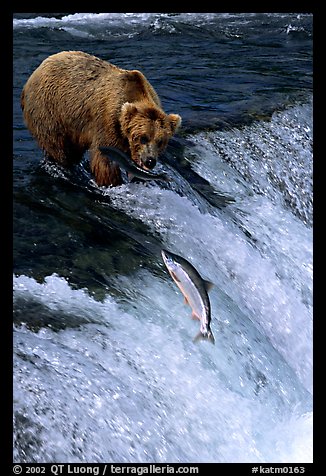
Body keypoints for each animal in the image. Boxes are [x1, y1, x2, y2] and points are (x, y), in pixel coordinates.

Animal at [21, 50, 182, 187]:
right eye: (143, 137)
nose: (150, 161)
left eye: (161, 141)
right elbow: (104, 162)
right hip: (50, 110)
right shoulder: (107, 122)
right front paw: (113, 183)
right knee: (58, 146)